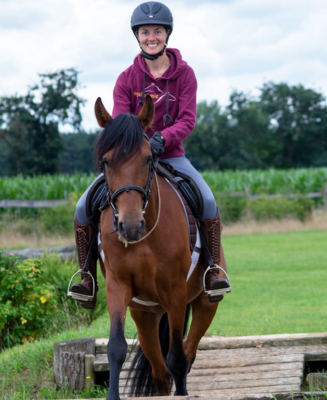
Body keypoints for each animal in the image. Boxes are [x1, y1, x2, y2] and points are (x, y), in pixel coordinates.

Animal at [95, 94, 222, 400]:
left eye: (148, 158)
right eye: (106, 161)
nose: (130, 226)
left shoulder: (175, 291)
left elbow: (177, 357)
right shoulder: (117, 286)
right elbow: (116, 348)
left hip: (203, 303)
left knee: (186, 354)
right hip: (145, 314)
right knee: (160, 371)